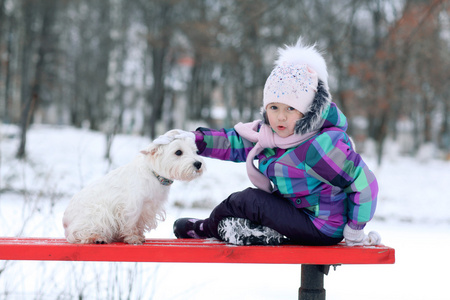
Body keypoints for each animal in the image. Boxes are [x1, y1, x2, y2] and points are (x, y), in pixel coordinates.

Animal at [63, 130, 204, 245]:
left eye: (195, 151)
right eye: (178, 152)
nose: (198, 164)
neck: (154, 175)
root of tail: (65, 220)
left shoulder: (147, 209)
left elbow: (139, 224)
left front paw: (138, 235)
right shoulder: (132, 206)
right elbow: (130, 223)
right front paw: (133, 238)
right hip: (96, 214)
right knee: (77, 233)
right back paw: (96, 237)